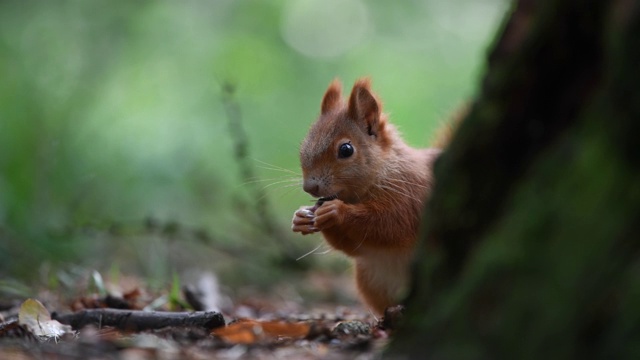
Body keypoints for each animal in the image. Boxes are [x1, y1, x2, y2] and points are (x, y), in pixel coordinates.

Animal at [292, 79, 448, 316]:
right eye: (303, 146)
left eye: (346, 149)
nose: (310, 187)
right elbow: (355, 247)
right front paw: (300, 218)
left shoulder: (412, 195)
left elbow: (391, 224)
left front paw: (337, 211)